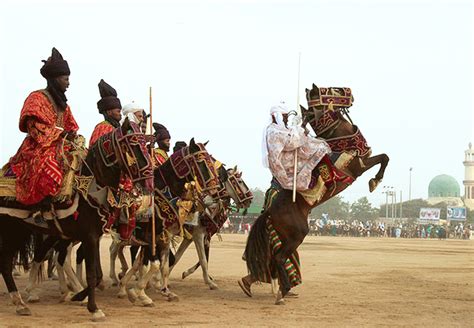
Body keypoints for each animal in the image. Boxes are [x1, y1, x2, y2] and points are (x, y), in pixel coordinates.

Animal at [0, 118, 153, 320]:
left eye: (145, 143)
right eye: (132, 145)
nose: (149, 180)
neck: (94, 185)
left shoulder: (94, 236)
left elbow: (97, 275)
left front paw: (80, 297)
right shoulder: (90, 237)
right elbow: (92, 275)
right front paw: (94, 308)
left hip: (27, 231)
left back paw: (25, 300)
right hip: (12, 230)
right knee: (7, 263)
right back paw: (22, 301)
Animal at [241, 83, 388, 304]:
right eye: (332, 91)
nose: (350, 93)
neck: (340, 142)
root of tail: (268, 211)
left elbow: (384, 157)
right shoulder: (357, 166)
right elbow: (384, 158)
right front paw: (375, 181)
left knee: (271, 260)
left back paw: (252, 284)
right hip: (298, 234)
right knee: (279, 257)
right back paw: (282, 292)